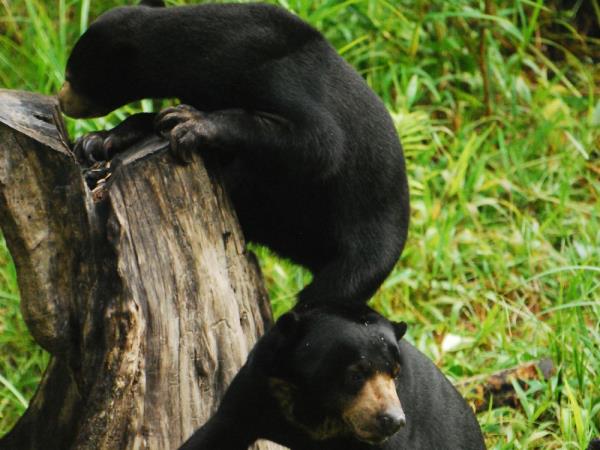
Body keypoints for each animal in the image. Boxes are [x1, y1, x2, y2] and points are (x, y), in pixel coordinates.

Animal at [58, 0, 410, 308]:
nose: (61, 101)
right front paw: (98, 141)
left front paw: (190, 124)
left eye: (71, 77)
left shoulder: (278, 76)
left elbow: (320, 144)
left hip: (368, 246)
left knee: (333, 291)